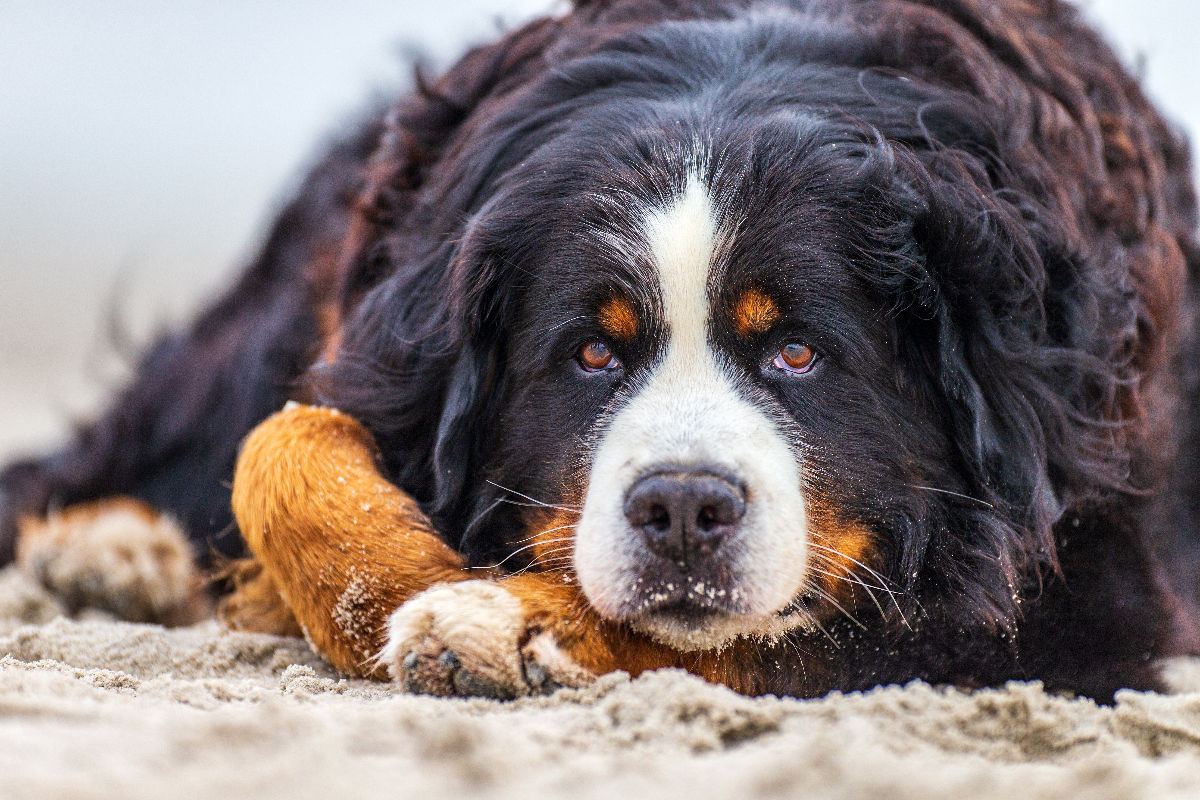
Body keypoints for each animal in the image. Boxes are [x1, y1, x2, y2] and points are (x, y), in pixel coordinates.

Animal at [2, 0, 1200, 700]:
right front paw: (404, 591)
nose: (683, 507)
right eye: (590, 355)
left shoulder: (1073, 589)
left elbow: (782, 634)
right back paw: (107, 547)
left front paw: (499, 620)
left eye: (797, 354)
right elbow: (282, 447)